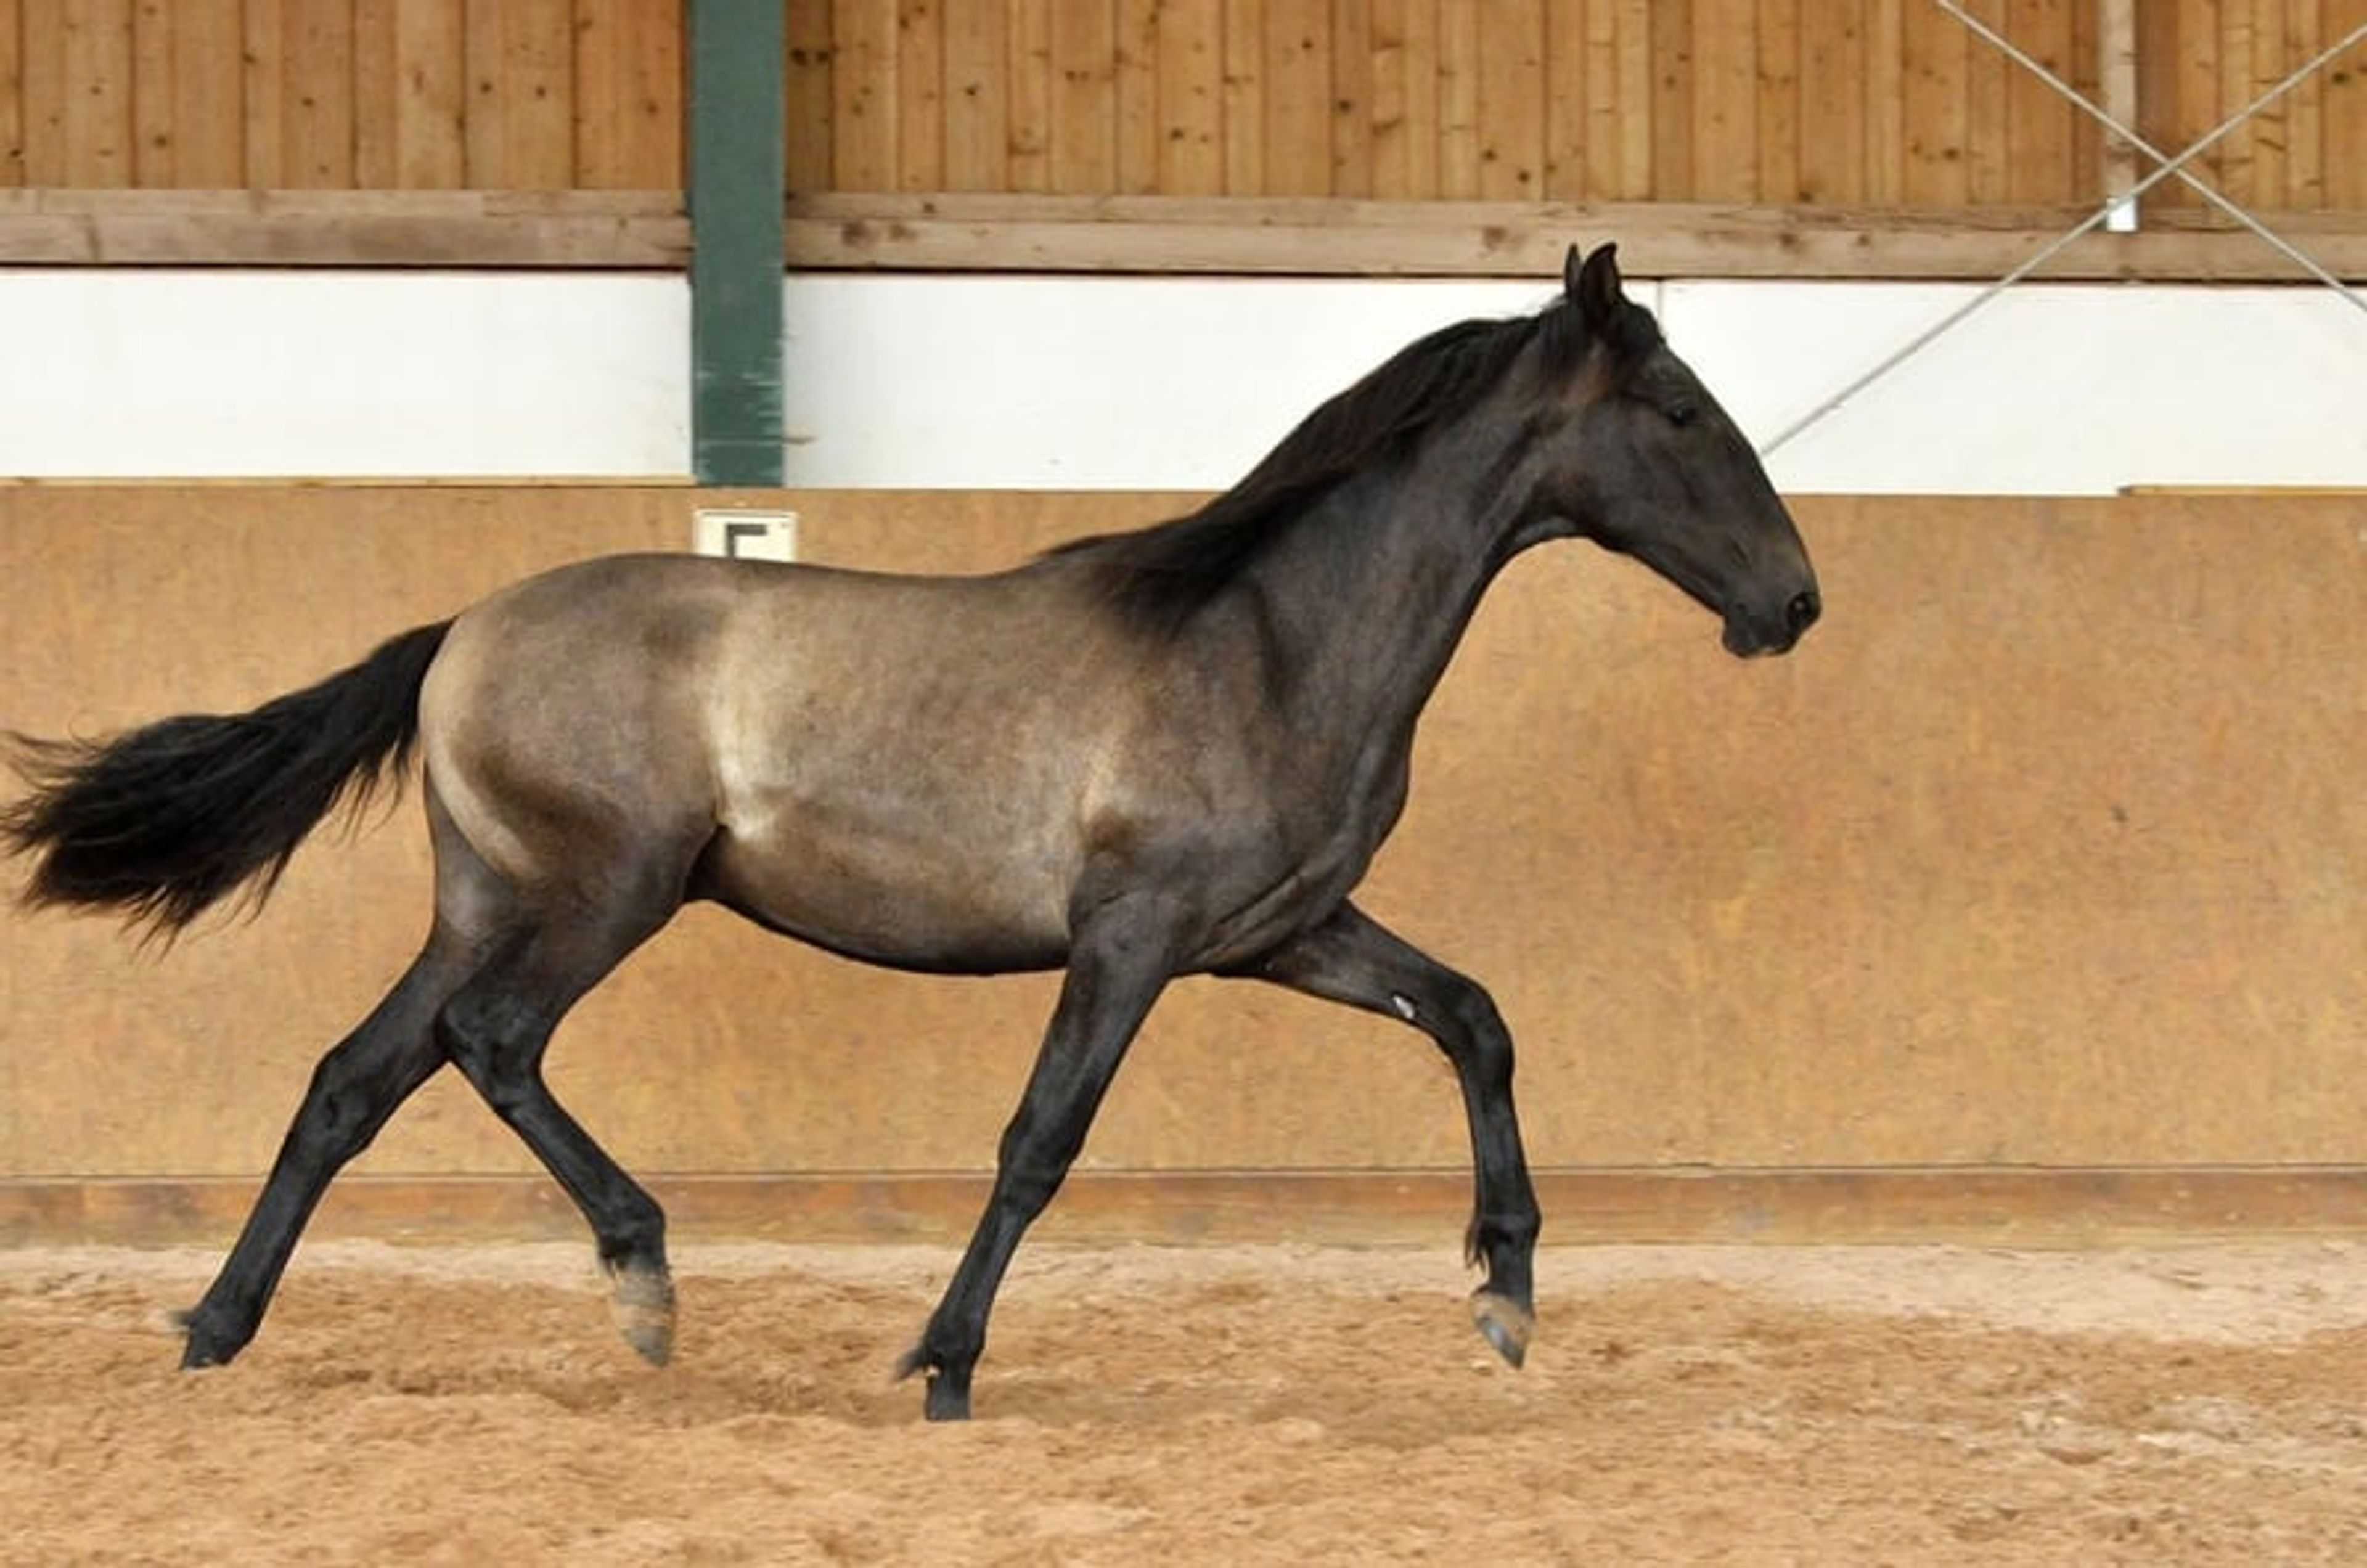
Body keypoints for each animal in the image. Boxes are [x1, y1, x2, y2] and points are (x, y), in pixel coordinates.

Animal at [1, 244, 1818, 1420]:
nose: (1792, 603)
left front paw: (1504, 1296)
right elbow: (1038, 1141)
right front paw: (942, 1362)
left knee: (353, 1080)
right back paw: (640, 1280)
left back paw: (217, 1328)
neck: (1268, 638)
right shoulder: (1134, 938)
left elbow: (1474, 1019)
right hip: (602, 894)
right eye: (1675, 411)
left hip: (483, 898)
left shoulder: (1283, 933)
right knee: (489, 1043)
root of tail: (462, 631)